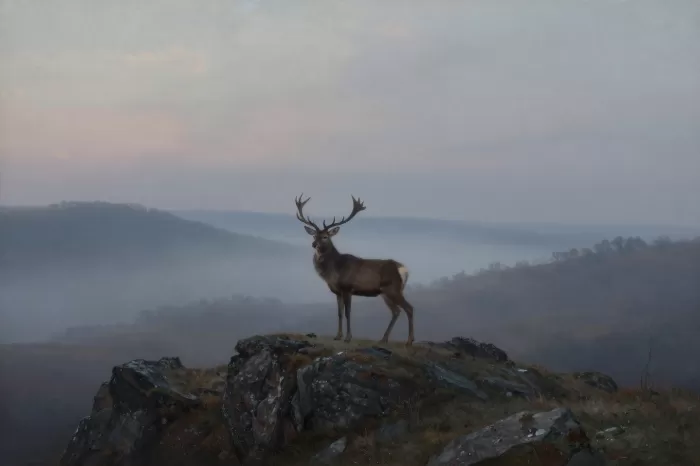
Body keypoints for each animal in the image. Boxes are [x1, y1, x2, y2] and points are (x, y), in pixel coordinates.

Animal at [294, 194, 415, 346]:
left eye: (325, 237)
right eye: (314, 235)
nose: (314, 244)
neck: (334, 272)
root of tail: (403, 270)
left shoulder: (347, 288)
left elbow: (348, 313)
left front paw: (348, 337)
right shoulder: (337, 292)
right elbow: (339, 313)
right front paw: (338, 336)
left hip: (393, 289)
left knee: (409, 308)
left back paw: (409, 340)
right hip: (386, 293)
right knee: (396, 311)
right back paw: (384, 339)